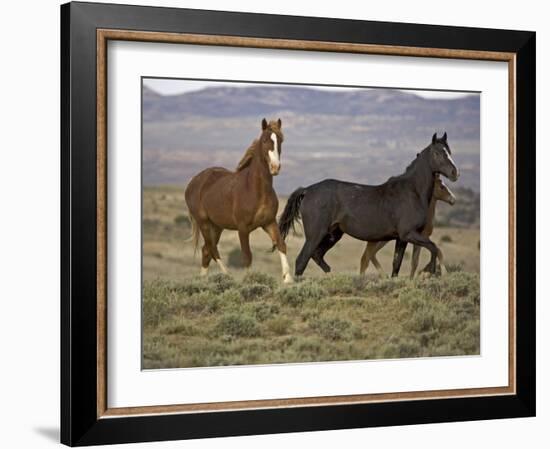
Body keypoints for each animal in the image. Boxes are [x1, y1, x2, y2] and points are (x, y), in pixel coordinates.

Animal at [183, 117, 294, 282]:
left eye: (280, 140)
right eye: (264, 140)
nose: (275, 167)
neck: (256, 190)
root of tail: (192, 183)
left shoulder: (269, 223)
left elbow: (281, 244)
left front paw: (288, 279)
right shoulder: (242, 229)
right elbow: (247, 256)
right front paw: (250, 280)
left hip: (217, 226)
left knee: (206, 250)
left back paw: (203, 280)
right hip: (204, 223)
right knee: (212, 249)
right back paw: (227, 276)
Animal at [280, 132, 462, 276]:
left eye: (449, 152)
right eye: (437, 153)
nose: (455, 173)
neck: (412, 191)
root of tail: (307, 190)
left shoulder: (401, 238)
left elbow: (397, 265)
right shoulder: (409, 234)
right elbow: (434, 248)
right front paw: (430, 271)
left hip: (333, 234)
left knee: (317, 256)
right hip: (316, 234)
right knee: (302, 261)